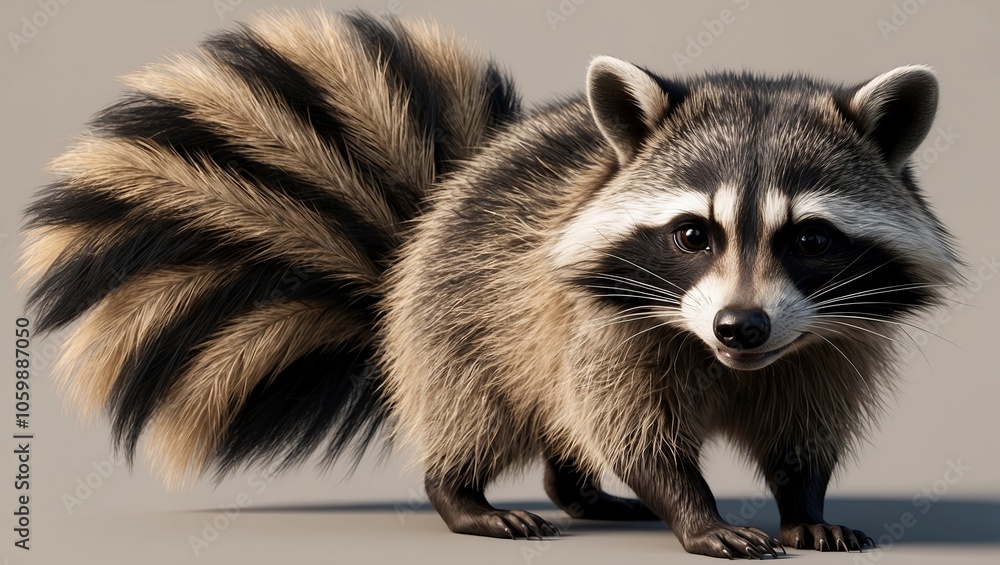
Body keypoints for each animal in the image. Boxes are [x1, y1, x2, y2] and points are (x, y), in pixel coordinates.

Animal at [19, 9, 957, 559]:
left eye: (811, 238)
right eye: (694, 234)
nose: (741, 327)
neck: (728, 358)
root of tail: (434, 205)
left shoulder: (829, 338)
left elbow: (806, 426)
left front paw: (803, 499)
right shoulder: (609, 319)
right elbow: (635, 428)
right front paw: (694, 507)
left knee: (559, 421)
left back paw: (580, 491)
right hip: (458, 311)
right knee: (483, 406)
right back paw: (465, 495)